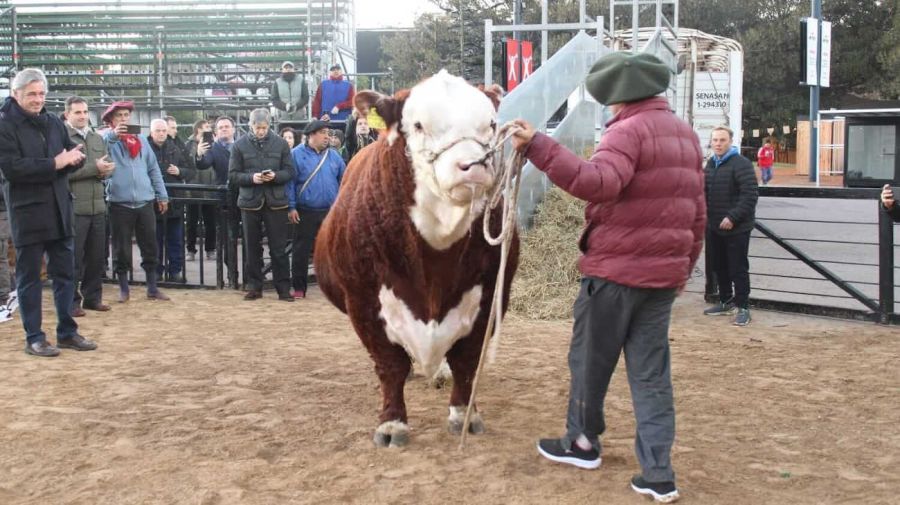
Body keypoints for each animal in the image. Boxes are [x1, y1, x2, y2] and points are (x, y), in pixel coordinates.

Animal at [312, 70, 516, 444]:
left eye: (492, 124)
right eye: (419, 125)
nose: (473, 165)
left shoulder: (490, 294)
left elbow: (467, 360)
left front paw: (463, 415)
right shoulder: (363, 301)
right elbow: (390, 364)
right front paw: (392, 423)